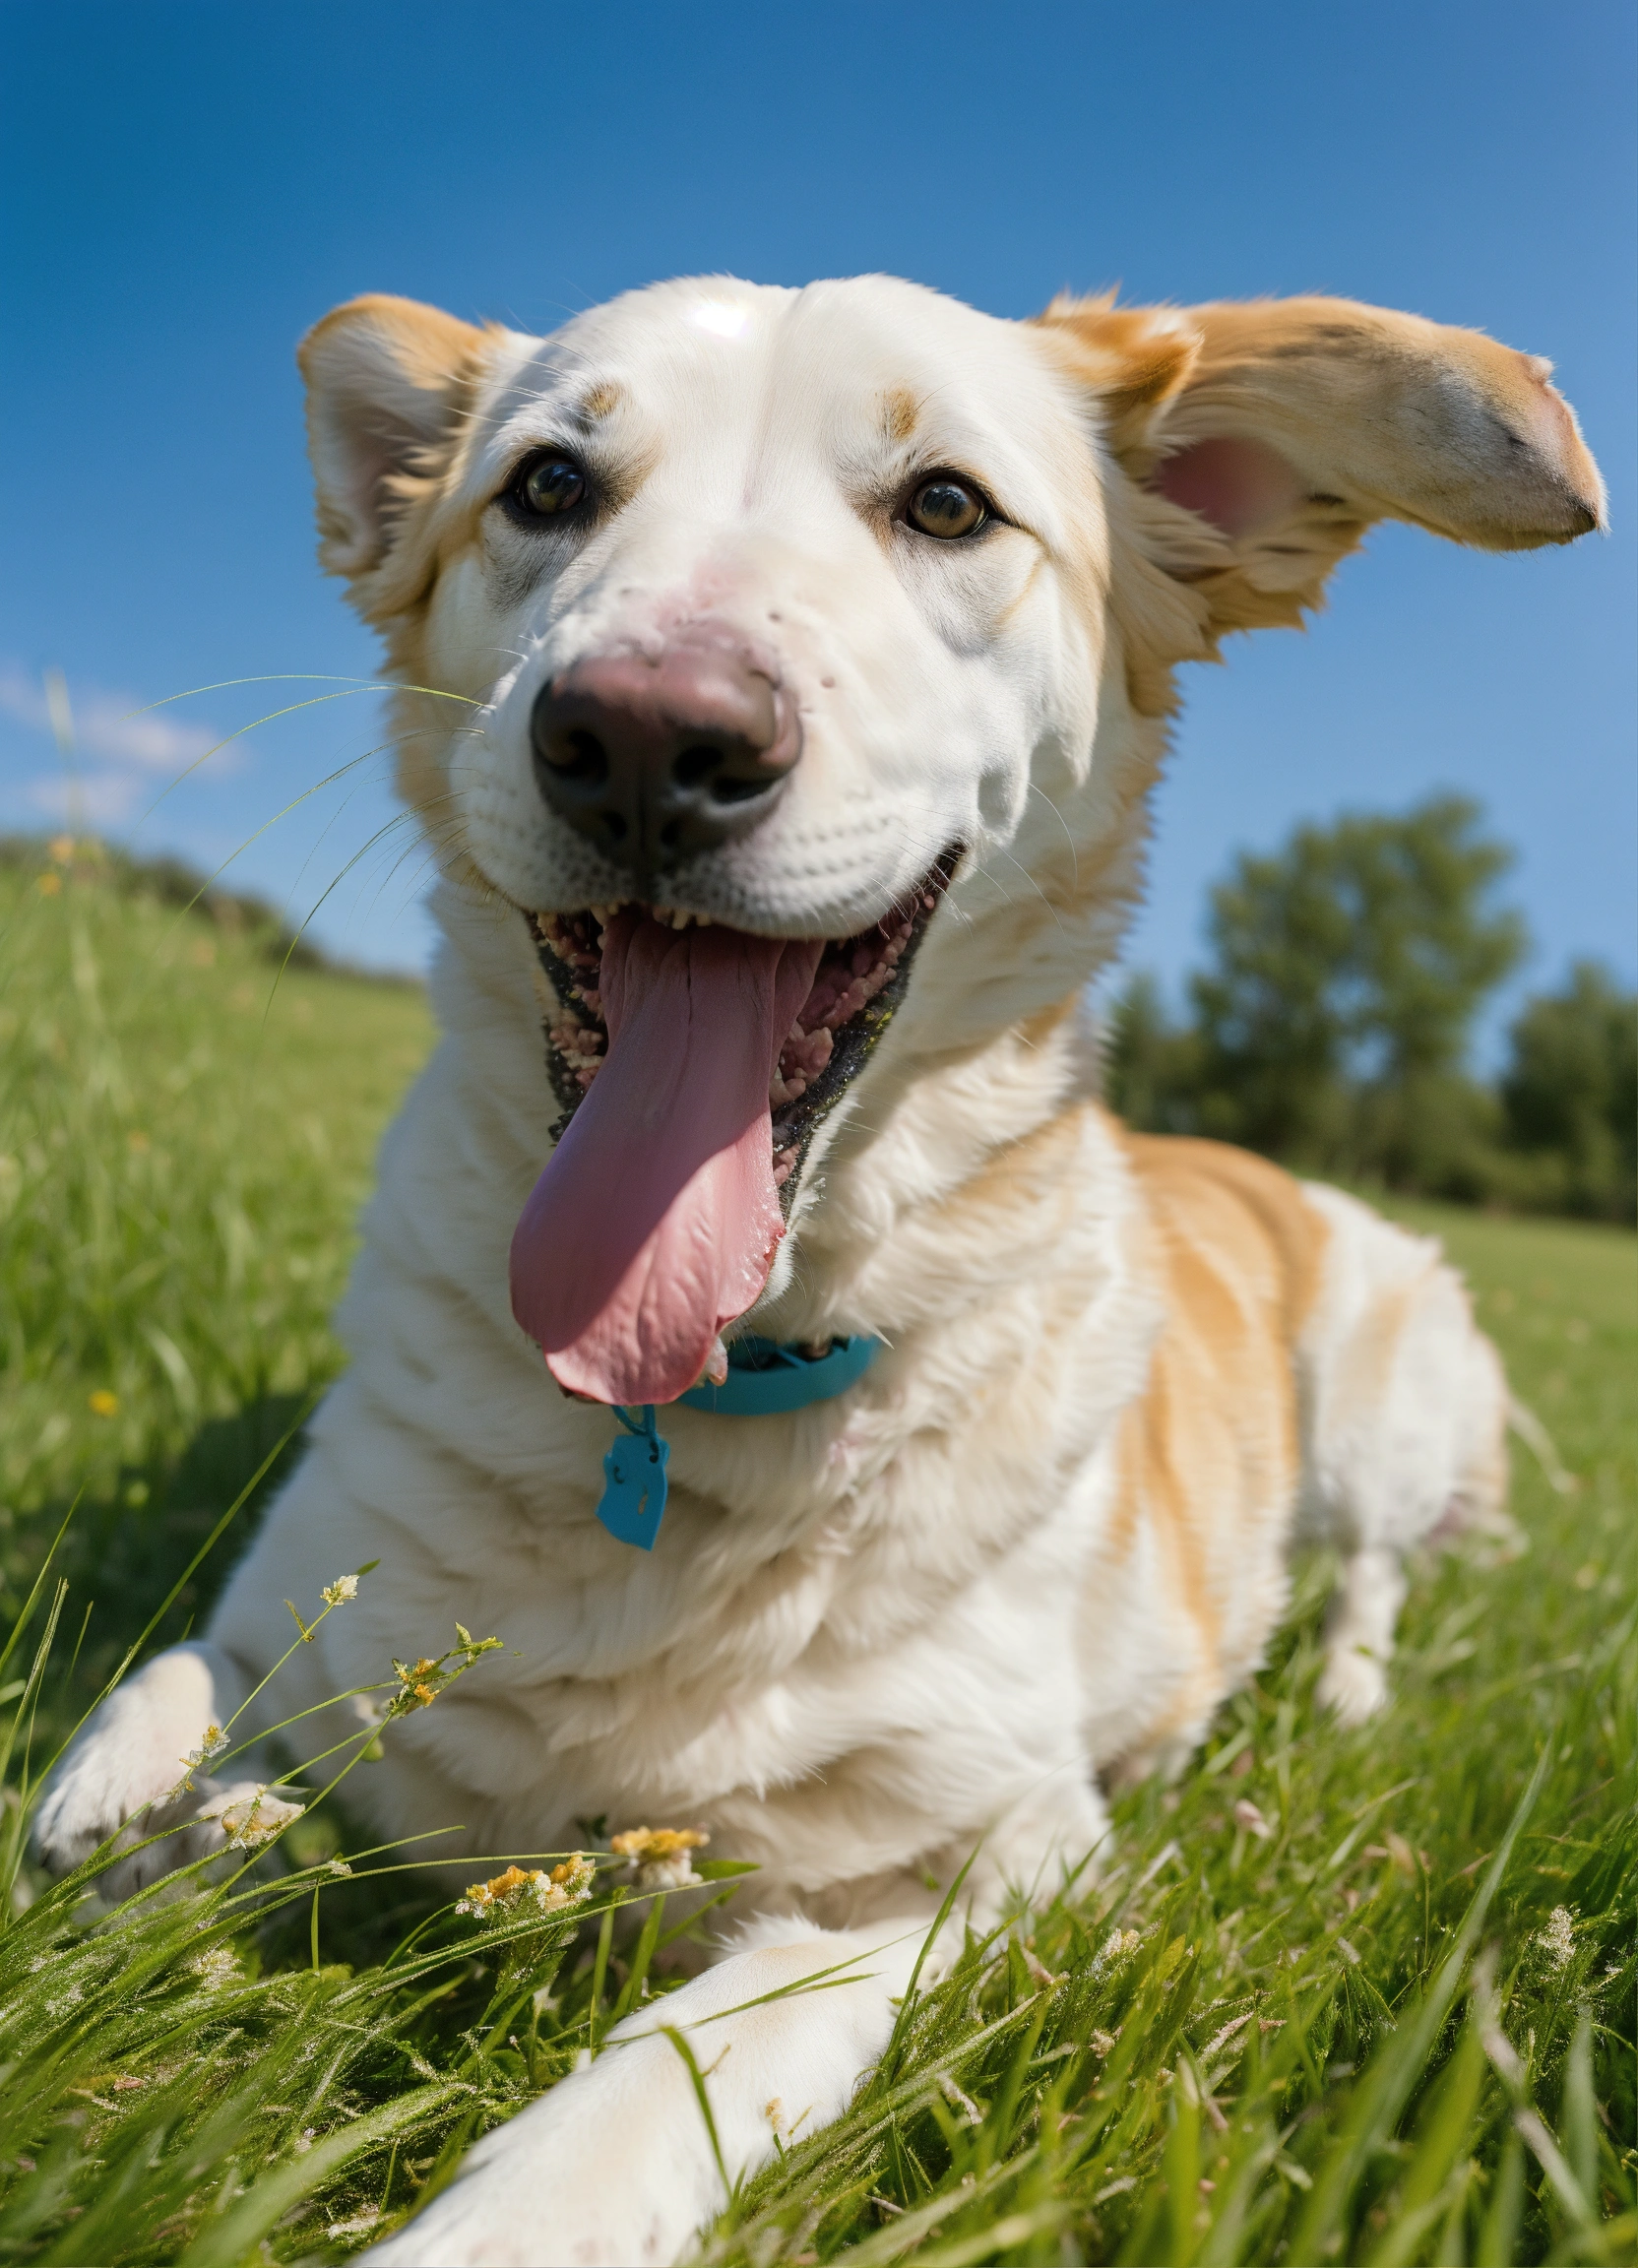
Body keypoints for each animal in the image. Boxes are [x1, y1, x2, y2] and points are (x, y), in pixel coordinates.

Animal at [36, 274, 1601, 2264]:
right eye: (547, 484)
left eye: (946, 505)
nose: (644, 736)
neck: (702, 1389)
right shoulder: (301, 1626)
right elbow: (163, 1718)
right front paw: (124, 1819)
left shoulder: (996, 1867)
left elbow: (680, 2061)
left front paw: (500, 2218)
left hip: (1374, 1396)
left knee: (1372, 1583)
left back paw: (1333, 1694)